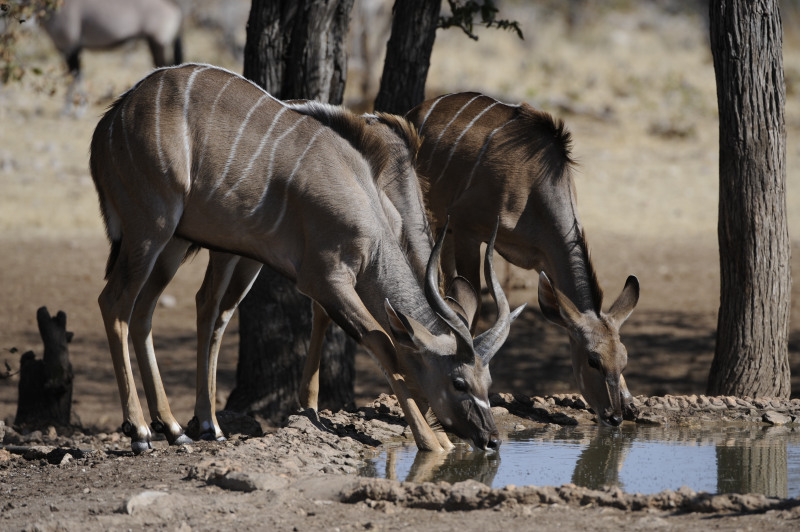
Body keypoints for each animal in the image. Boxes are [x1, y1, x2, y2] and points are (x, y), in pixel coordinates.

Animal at [41, 0, 183, 114]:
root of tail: (174, 8)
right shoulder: (68, 49)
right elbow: (75, 76)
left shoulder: (70, 48)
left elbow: (75, 77)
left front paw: (75, 110)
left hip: (156, 43)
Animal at [90, 63, 516, 454]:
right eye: (458, 382)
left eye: (488, 382)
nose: (492, 439)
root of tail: (112, 118)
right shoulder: (325, 277)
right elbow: (381, 341)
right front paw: (432, 442)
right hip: (153, 229)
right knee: (116, 303)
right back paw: (142, 430)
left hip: (180, 243)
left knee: (152, 311)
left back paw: (179, 428)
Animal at [410, 92, 640, 428]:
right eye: (592, 360)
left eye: (623, 358)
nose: (615, 417)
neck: (532, 187)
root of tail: (419, 108)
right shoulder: (468, 230)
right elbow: (471, 310)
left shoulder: (544, 260)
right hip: (438, 222)